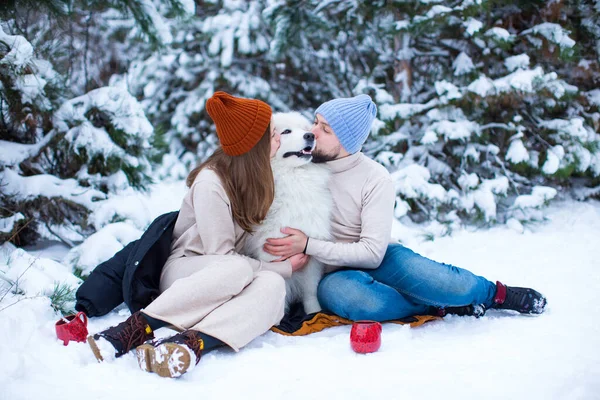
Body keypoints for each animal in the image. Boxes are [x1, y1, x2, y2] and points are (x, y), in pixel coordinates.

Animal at [246, 111, 336, 314]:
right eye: (286, 131)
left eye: (305, 129)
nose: (310, 136)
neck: (294, 179)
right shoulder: (271, 252)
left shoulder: (310, 255)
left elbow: (311, 291)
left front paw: (314, 314)